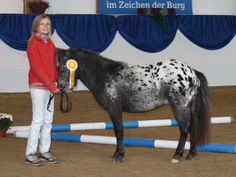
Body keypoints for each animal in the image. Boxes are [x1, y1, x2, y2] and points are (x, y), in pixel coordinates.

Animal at [56, 48, 210, 163]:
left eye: (64, 66)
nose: (60, 87)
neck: (105, 75)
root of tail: (192, 72)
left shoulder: (114, 109)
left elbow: (118, 131)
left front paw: (119, 155)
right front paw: (117, 153)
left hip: (179, 106)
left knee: (184, 128)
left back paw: (177, 155)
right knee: (191, 126)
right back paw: (191, 153)